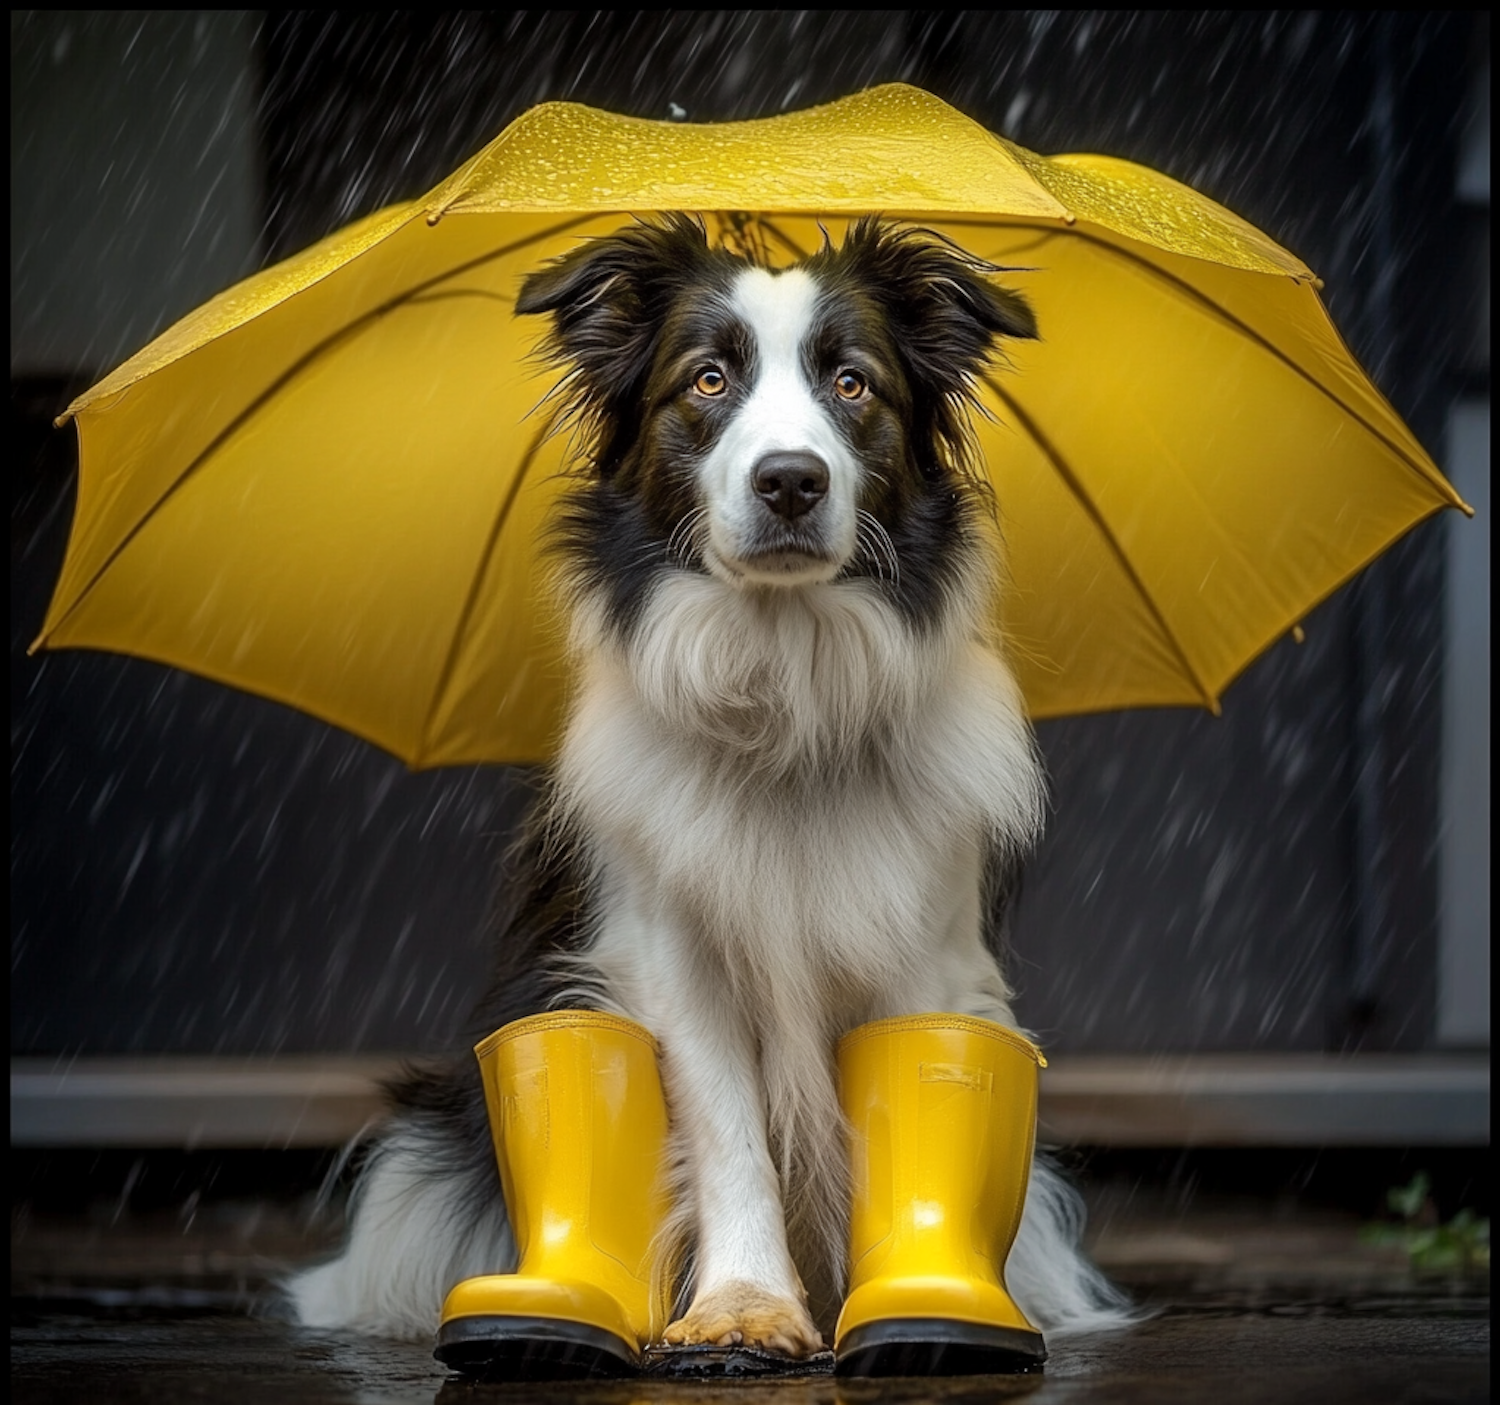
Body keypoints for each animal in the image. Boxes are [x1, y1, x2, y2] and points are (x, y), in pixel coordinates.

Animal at [286, 215, 1128, 1349]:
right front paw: (744, 1306)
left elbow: (905, 1109)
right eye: (709, 379)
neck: (783, 704)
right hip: (425, 1153)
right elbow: (730, 1131)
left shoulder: (925, 957)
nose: (791, 481)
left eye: (852, 383)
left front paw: (907, 1302)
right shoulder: (669, 953)